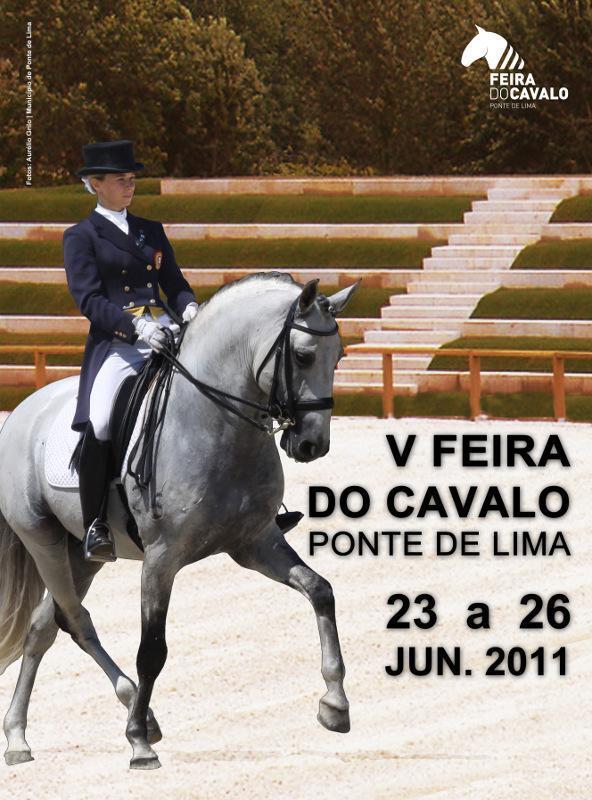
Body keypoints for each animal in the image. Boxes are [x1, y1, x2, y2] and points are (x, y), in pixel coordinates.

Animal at [0, 272, 358, 769]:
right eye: (304, 355)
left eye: (339, 356)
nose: (312, 445)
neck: (218, 424)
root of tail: (22, 411)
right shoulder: (162, 559)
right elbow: (152, 650)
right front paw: (137, 743)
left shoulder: (255, 543)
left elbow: (321, 591)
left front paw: (335, 703)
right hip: (43, 539)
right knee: (75, 620)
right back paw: (133, 715)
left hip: (82, 557)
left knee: (42, 627)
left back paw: (19, 735)